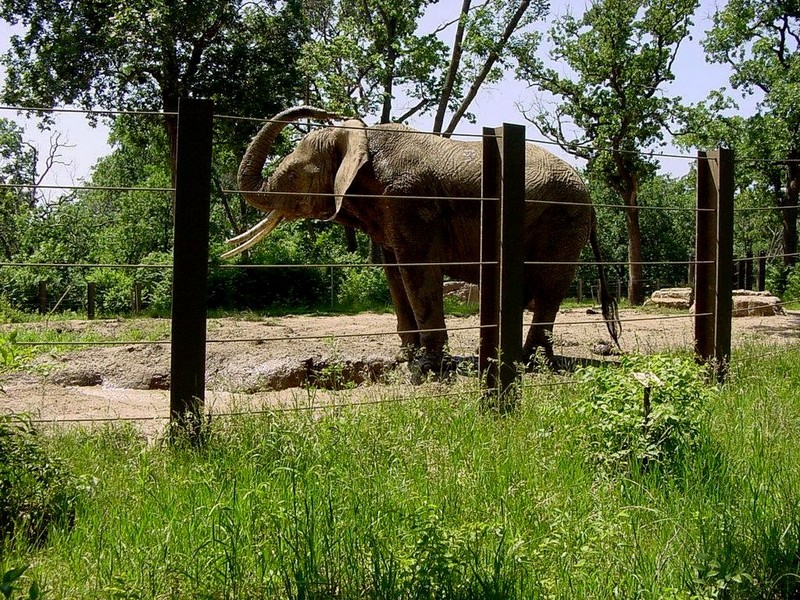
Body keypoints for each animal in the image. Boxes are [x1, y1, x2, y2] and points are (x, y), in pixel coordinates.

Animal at [222, 105, 620, 372]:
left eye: (292, 176)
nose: (329, 108)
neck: (361, 137)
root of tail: (590, 197)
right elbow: (395, 274)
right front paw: (406, 358)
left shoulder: (410, 200)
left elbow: (417, 269)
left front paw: (427, 367)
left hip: (562, 222)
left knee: (549, 287)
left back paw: (529, 362)